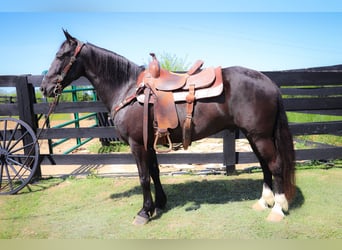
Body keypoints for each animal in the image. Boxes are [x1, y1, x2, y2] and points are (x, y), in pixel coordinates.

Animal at [40, 30, 296, 224]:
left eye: (61, 55)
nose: (44, 87)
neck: (127, 88)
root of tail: (269, 82)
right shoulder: (148, 143)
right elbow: (154, 172)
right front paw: (159, 203)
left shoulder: (137, 144)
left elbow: (143, 177)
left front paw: (144, 212)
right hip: (255, 136)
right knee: (264, 165)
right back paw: (264, 202)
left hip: (260, 136)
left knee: (275, 165)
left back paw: (277, 209)